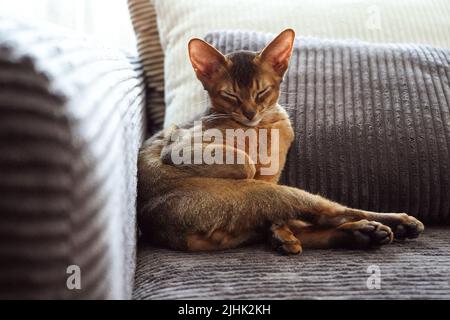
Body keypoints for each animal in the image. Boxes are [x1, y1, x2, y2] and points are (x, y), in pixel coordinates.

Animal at [136, 28, 422, 254]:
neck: (260, 128)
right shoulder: (178, 146)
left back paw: (378, 231)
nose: (249, 113)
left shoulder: (271, 176)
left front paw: (280, 236)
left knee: (310, 221)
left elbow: (280, 220)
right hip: (270, 194)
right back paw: (379, 229)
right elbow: (247, 163)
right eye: (230, 95)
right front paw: (280, 236)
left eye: (262, 91)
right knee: (327, 214)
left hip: (273, 197)